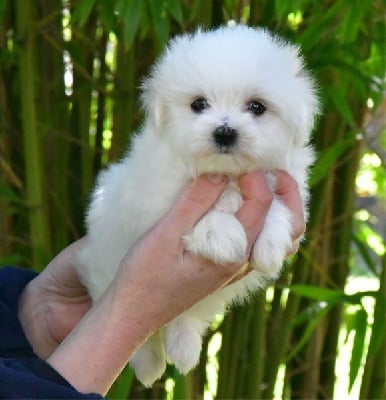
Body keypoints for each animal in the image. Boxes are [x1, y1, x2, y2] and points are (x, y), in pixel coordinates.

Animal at [76, 25, 320, 388]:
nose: (225, 132)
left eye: (257, 107)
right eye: (199, 104)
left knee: (185, 316)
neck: (225, 174)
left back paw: (184, 346)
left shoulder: (280, 179)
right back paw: (149, 363)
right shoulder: (152, 203)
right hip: (104, 265)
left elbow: (277, 207)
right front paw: (223, 235)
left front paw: (270, 244)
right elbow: (199, 216)